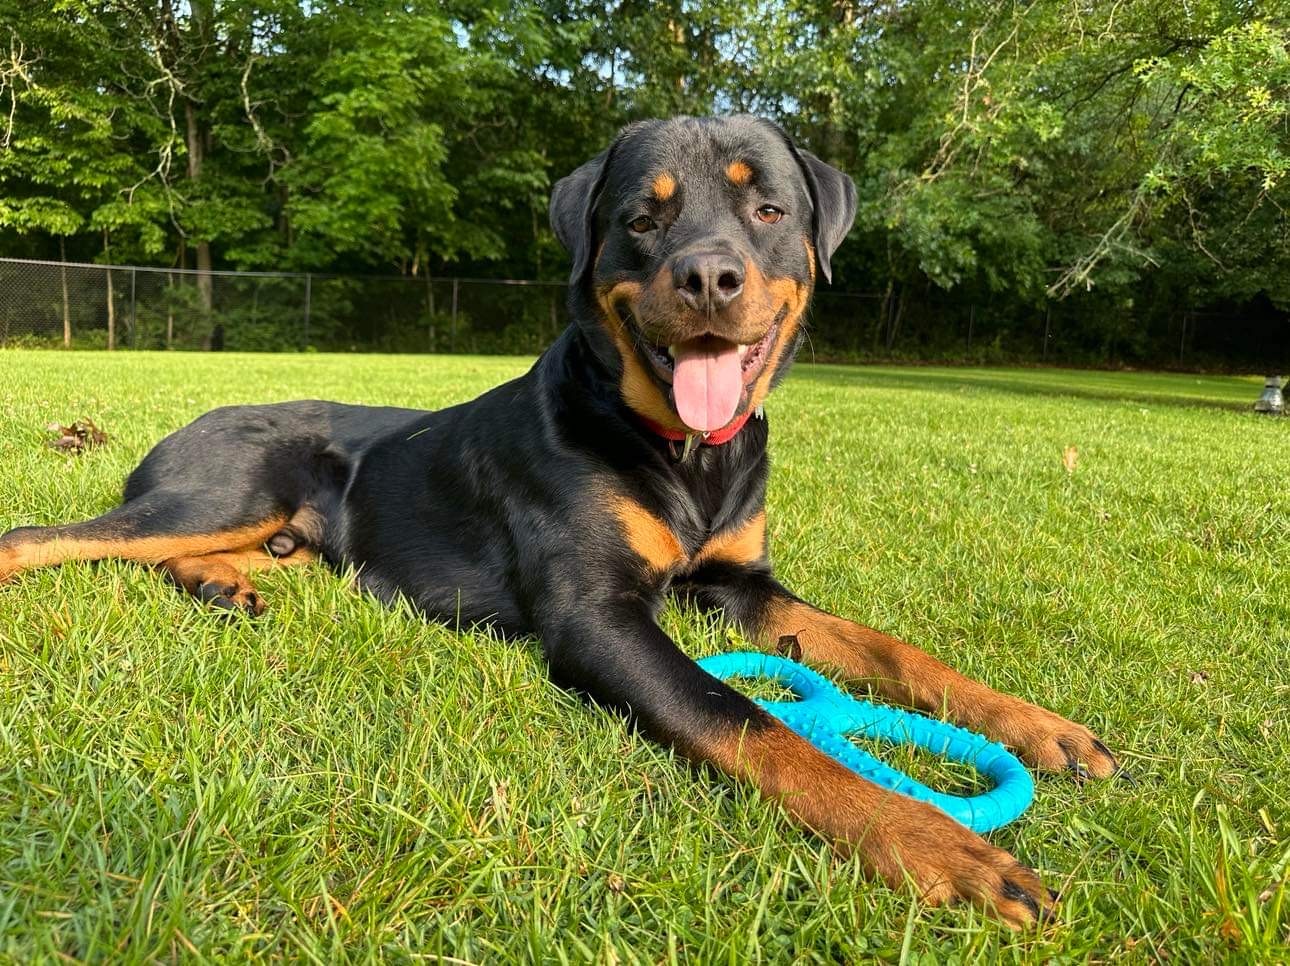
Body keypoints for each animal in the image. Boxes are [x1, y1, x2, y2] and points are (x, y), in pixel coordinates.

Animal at [0, 114, 1114, 928]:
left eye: (766, 207)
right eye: (642, 219)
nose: (709, 277)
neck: (684, 454)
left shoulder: (740, 584)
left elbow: (890, 650)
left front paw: (1041, 726)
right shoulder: (597, 618)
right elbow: (750, 721)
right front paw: (937, 844)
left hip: (275, 529)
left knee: (193, 556)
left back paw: (228, 585)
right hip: (225, 488)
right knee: (50, 540)